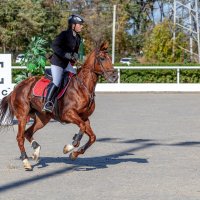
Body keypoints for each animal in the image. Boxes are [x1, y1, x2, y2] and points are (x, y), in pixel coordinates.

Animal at [0, 41, 118, 170]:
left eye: (110, 58)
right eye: (102, 58)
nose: (114, 77)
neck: (83, 87)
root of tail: (16, 88)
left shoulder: (84, 118)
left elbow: (92, 136)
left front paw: (74, 154)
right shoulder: (68, 114)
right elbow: (82, 127)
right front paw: (71, 146)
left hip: (43, 118)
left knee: (28, 133)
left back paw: (36, 152)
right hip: (22, 116)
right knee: (20, 137)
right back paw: (26, 162)